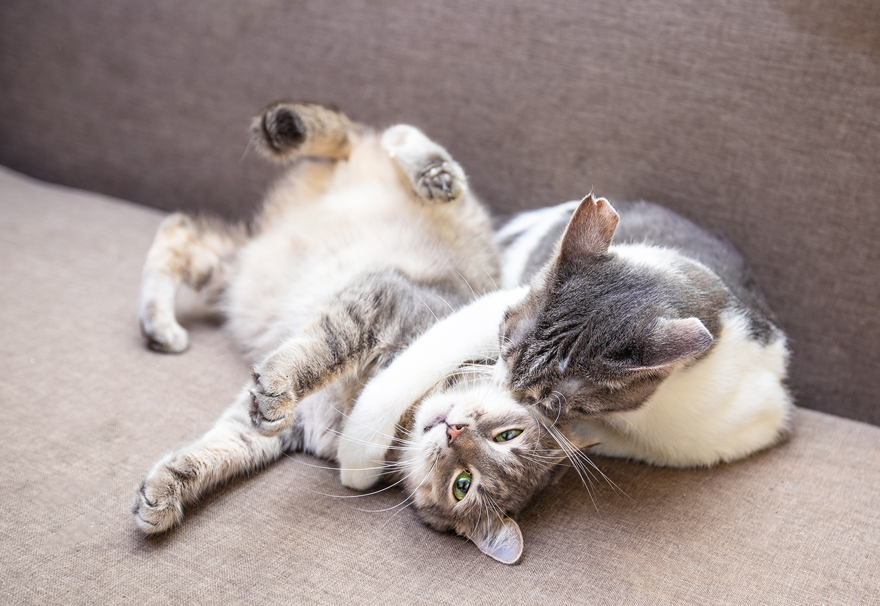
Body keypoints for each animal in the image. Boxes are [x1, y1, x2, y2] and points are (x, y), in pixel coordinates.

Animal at [133, 101, 572, 564]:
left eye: (464, 485)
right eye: (507, 435)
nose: (454, 432)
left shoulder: (291, 427)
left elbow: (221, 448)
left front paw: (163, 493)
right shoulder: (380, 300)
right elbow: (322, 351)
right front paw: (281, 384)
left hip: (231, 274)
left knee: (179, 232)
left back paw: (159, 324)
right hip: (430, 195)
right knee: (386, 133)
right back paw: (433, 172)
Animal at [340, 197, 796, 564]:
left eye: (547, 399)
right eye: (505, 336)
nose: (503, 391)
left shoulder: (734, 428)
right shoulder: (493, 308)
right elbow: (424, 357)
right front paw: (360, 453)